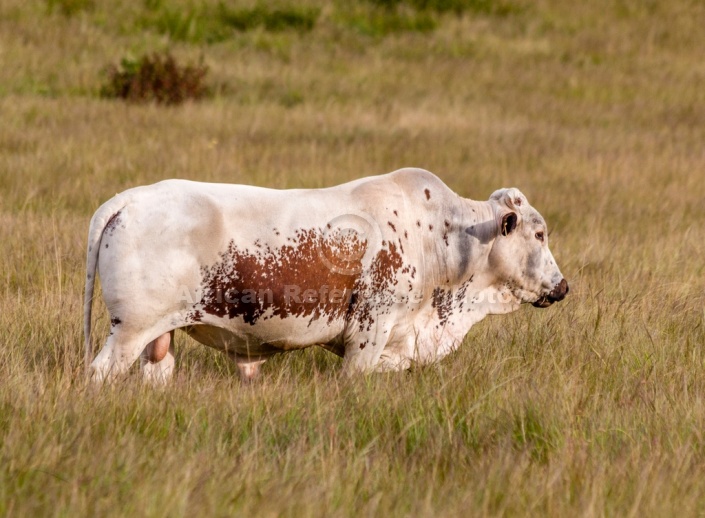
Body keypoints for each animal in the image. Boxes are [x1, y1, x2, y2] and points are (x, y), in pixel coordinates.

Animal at [84, 169, 568, 384]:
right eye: (539, 233)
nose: (563, 286)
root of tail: (129, 199)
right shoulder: (369, 333)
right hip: (128, 332)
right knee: (100, 373)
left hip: (155, 340)